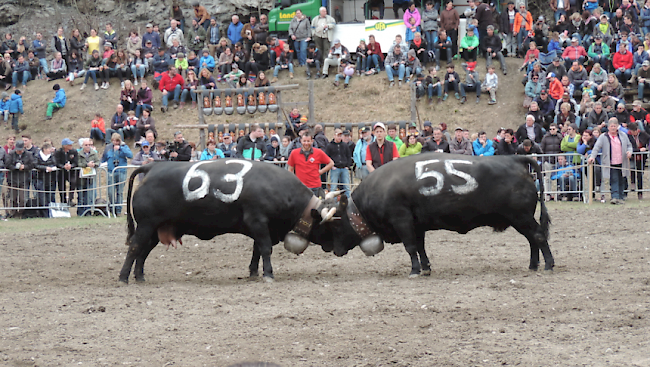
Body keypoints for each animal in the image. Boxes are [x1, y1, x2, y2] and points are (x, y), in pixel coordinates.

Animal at [119, 160, 340, 284]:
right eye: (333, 223)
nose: (340, 248)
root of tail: (152, 166)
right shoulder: (259, 222)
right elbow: (265, 249)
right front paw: (268, 274)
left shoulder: (261, 227)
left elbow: (257, 250)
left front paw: (253, 272)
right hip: (146, 225)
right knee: (135, 247)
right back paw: (123, 278)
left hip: (155, 229)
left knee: (143, 251)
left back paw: (140, 277)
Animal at [326, 154, 556, 278]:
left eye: (336, 224)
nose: (333, 250)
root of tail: (514, 159)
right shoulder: (416, 226)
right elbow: (420, 247)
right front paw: (426, 268)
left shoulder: (402, 221)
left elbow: (410, 247)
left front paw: (414, 270)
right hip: (520, 219)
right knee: (532, 239)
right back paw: (533, 265)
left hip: (521, 217)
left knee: (538, 236)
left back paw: (548, 265)